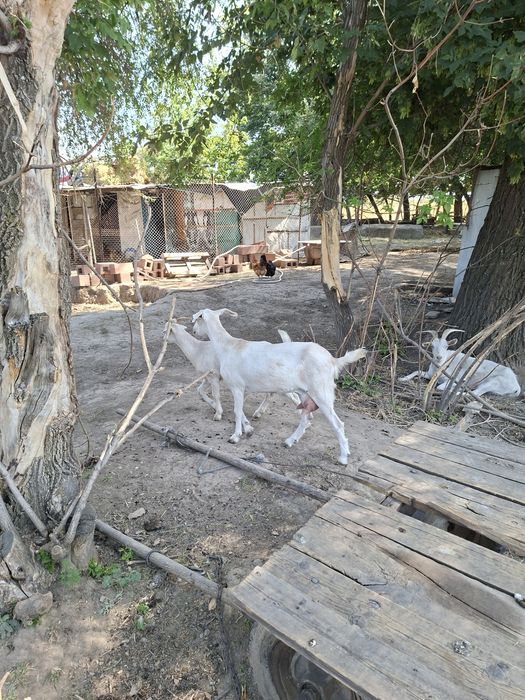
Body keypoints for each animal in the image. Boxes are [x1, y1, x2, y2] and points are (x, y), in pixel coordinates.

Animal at [191, 308, 367, 465]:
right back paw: (290, 441)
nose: (194, 331)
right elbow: (241, 410)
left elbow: (237, 411)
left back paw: (343, 457)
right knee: (306, 418)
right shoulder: (244, 389)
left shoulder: (237, 386)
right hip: (305, 393)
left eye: (198, 319)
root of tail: (333, 361)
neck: (228, 346)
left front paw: (235, 436)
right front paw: (248, 429)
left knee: (337, 423)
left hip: (321, 393)